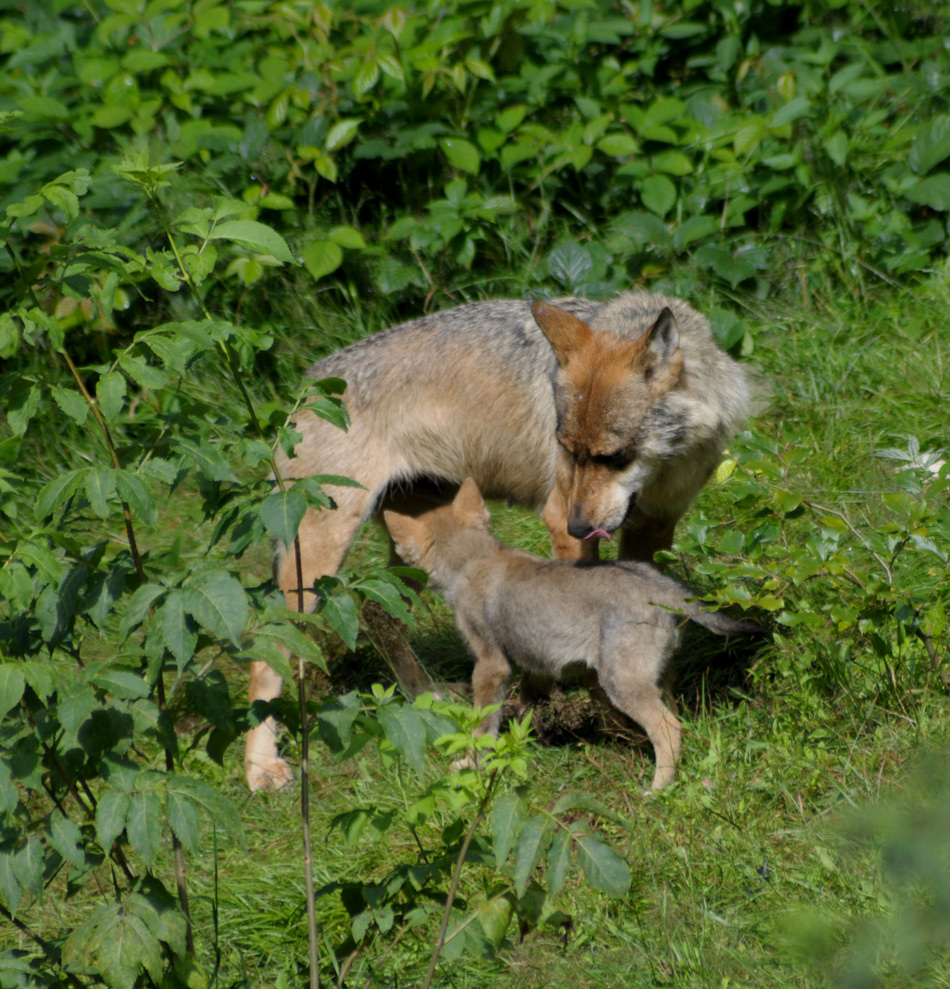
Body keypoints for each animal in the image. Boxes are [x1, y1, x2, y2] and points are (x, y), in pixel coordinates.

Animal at [245, 292, 752, 788]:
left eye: (613, 457)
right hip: (314, 568)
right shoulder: (561, 519)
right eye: (568, 450)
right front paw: (593, 720)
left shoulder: (653, 528)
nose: (579, 526)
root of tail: (307, 382)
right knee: (265, 655)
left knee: (375, 610)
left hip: (409, 552)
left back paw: (423, 694)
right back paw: (261, 768)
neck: (665, 467)